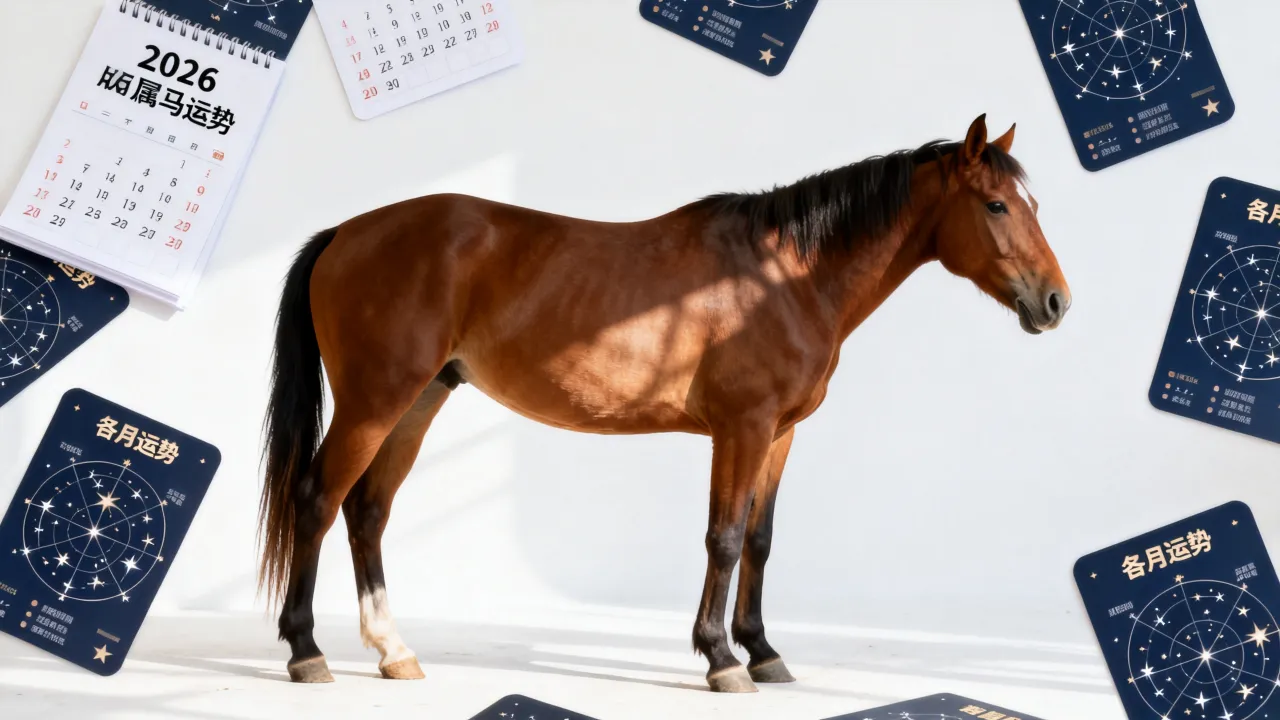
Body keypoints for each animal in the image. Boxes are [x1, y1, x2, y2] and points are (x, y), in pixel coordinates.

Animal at [258, 114, 1070, 693]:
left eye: (1031, 203)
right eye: (997, 205)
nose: (1056, 302)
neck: (786, 275)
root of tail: (346, 232)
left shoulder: (779, 435)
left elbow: (761, 539)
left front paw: (764, 651)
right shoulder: (740, 429)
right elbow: (725, 538)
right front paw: (722, 660)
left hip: (419, 400)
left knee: (368, 511)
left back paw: (394, 651)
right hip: (375, 400)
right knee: (317, 499)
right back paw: (306, 651)